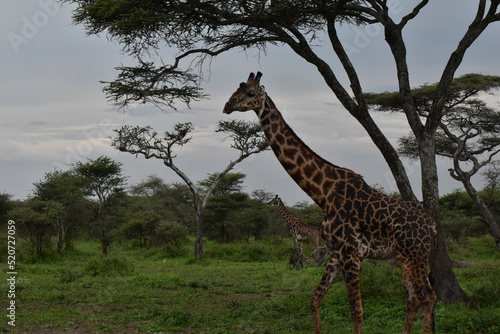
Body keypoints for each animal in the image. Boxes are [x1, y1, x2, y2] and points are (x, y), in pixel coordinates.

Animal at [223, 71, 438, 334]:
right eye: (236, 89)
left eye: (250, 93)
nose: (227, 106)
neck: (323, 193)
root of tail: (432, 225)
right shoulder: (336, 253)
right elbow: (314, 300)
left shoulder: (351, 254)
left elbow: (356, 310)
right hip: (404, 257)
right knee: (414, 297)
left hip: (413, 254)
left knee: (427, 295)